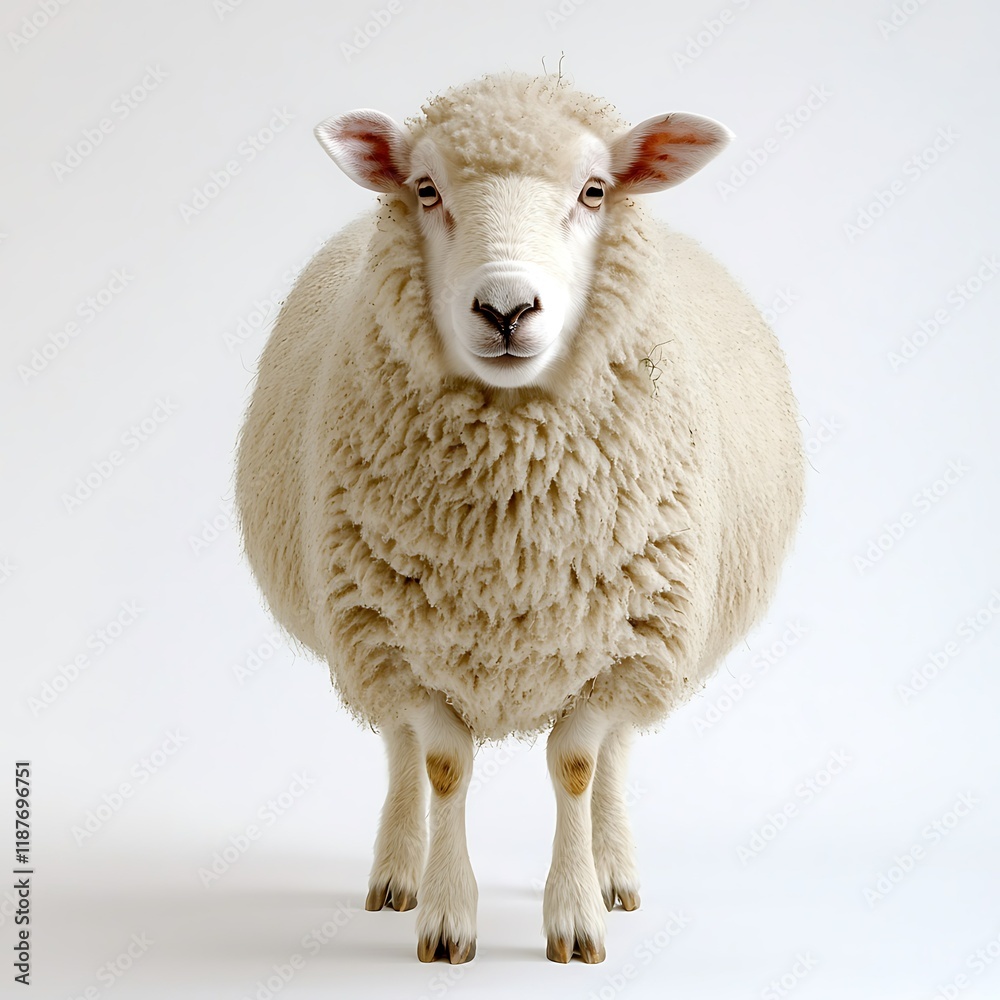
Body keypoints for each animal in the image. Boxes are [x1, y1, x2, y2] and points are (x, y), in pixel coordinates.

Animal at [234, 72, 804, 966]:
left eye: (595, 189)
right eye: (426, 189)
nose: (505, 308)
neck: (511, 528)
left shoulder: (621, 640)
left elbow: (577, 767)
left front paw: (575, 916)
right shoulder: (398, 637)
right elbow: (441, 765)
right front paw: (446, 917)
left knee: (617, 754)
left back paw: (614, 871)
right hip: (364, 627)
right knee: (397, 747)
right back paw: (397, 871)